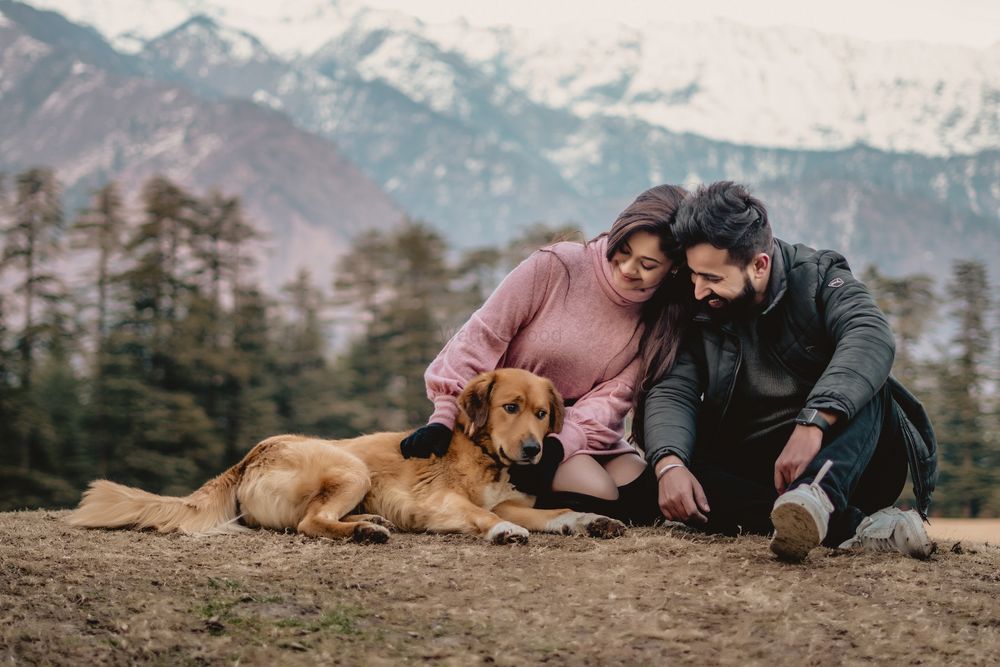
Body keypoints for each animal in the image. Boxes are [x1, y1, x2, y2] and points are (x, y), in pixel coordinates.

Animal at [70, 368, 628, 544]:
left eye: (542, 412)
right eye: (509, 407)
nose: (534, 450)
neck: (484, 455)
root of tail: (252, 454)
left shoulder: (509, 498)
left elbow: (555, 510)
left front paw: (591, 519)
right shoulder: (440, 503)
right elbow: (481, 515)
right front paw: (504, 532)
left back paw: (368, 522)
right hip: (351, 468)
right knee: (310, 523)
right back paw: (364, 531)